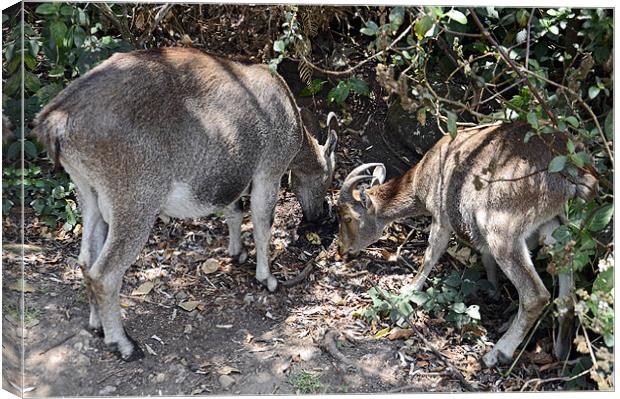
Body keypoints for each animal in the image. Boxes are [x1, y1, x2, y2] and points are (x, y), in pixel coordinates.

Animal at [34, 47, 340, 362]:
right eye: (329, 175)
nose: (319, 215)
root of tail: (55, 123)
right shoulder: (269, 170)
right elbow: (262, 223)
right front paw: (268, 279)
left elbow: (234, 210)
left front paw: (237, 253)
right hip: (134, 200)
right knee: (104, 274)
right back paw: (124, 344)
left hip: (88, 190)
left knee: (85, 260)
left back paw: (97, 326)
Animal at [336, 122, 600, 368]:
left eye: (347, 217)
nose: (342, 250)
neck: (422, 178)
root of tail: (574, 172)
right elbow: (484, 256)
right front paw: (492, 289)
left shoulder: (441, 216)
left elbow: (431, 253)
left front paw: (408, 291)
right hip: (554, 223)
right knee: (566, 279)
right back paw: (561, 349)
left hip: (502, 230)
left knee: (536, 295)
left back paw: (497, 353)